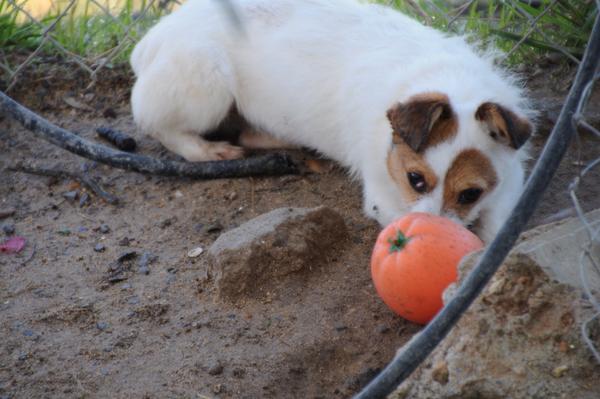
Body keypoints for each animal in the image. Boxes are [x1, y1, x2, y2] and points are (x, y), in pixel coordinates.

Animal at [129, 0, 532, 241]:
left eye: (470, 194)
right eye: (414, 180)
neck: (450, 81)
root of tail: (151, 38)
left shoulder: (512, 181)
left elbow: (498, 225)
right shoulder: (383, 195)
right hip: (208, 79)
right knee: (157, 124)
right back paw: (207, 150)